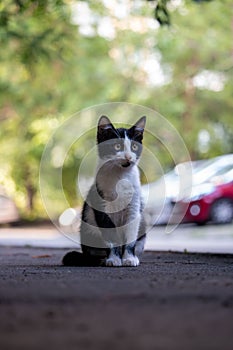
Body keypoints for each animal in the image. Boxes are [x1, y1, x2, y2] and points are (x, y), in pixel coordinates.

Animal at [62, 116, 146, 266]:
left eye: (134, 147)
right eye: (117, 146)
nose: (128, 157)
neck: (119, 177)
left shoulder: (134, 206)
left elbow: (131, 235)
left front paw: (129, 258)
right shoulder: (101, 205)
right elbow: (111, 236)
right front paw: (113, 259)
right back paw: (101, 259)